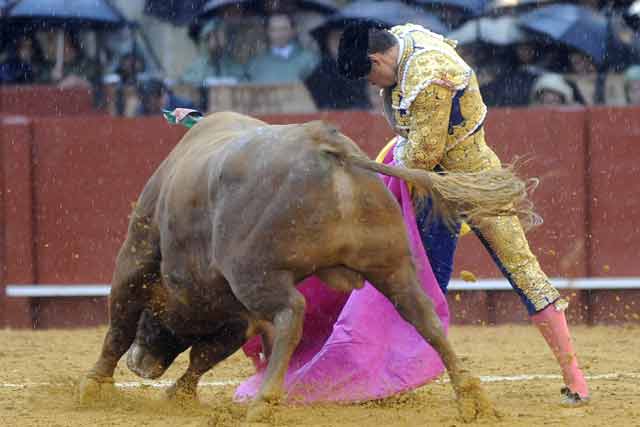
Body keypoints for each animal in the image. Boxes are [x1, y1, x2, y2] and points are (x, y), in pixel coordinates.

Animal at [80, 112, 512, 422]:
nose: (143, 366)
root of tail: (327, 143)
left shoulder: (138, 254)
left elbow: (120, 325)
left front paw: (93, 387)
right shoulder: (236, 314)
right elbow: (206, 353)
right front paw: (178, 395)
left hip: (255, 275)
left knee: (292, 314)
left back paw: (265, 402)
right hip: (392, 267)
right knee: (423, 316)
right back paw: (472, 398)